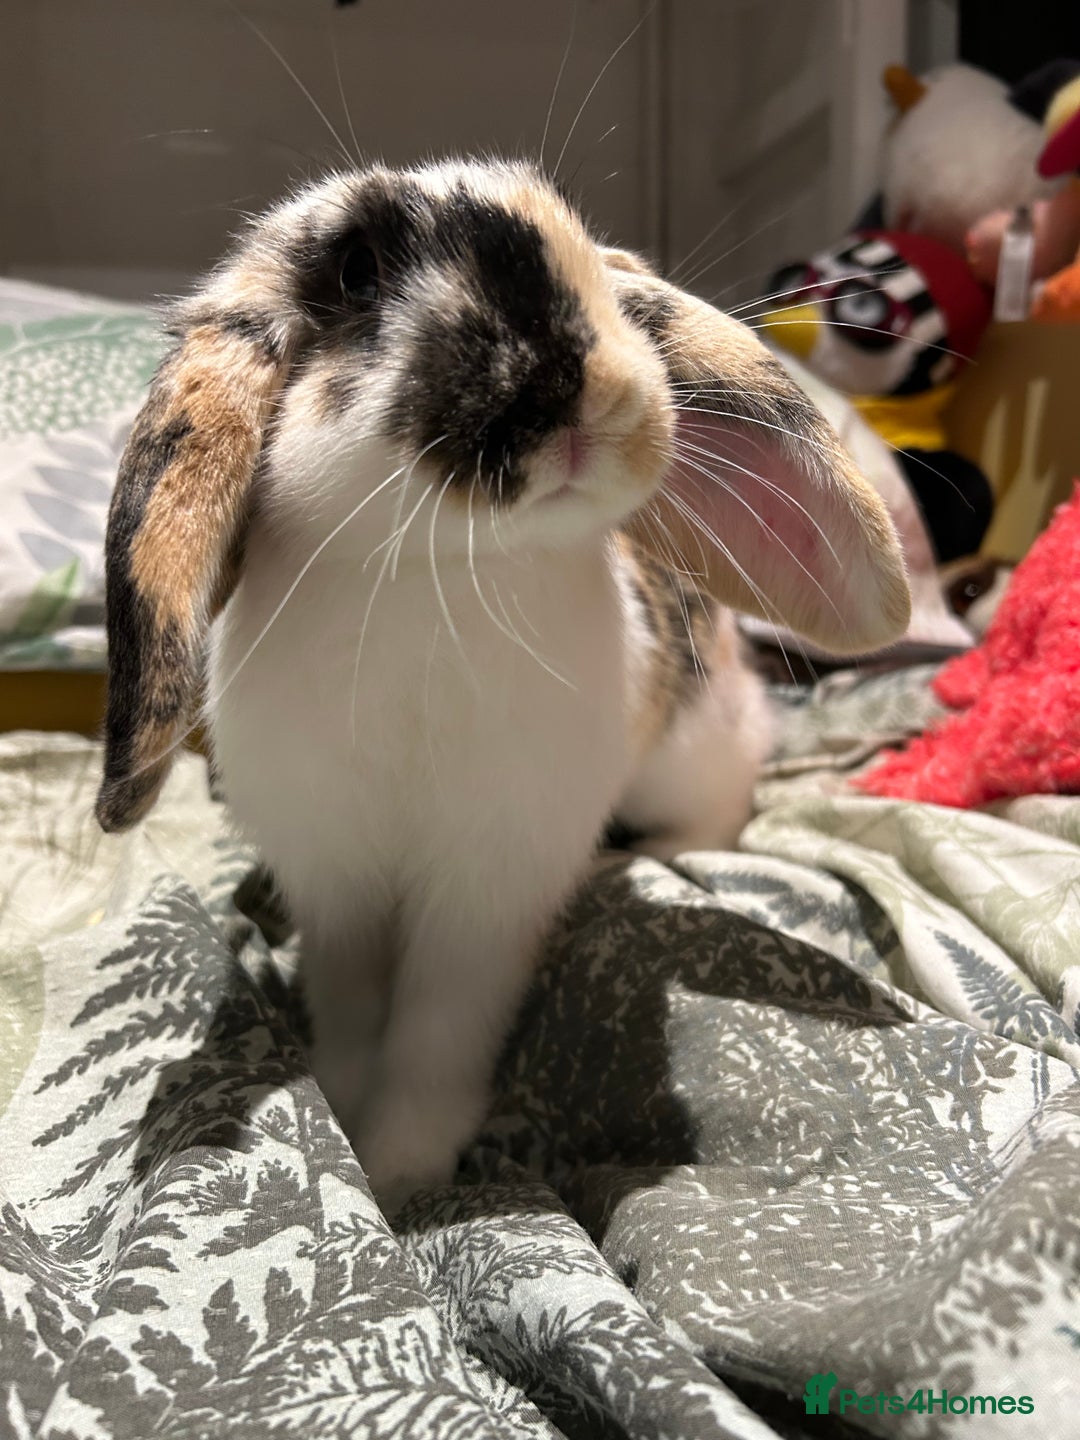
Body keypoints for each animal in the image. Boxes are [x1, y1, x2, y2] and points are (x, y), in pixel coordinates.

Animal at [95, 160, 910, 1204]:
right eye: (358, 270)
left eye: (591, 265)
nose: (581, 387)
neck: (435, 578)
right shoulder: (338, 883)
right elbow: (354, 1013)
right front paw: (346, 1122)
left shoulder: (488, 895)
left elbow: (439, 1035)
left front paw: (403, 1172)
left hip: (693, 758)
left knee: (721, 814)